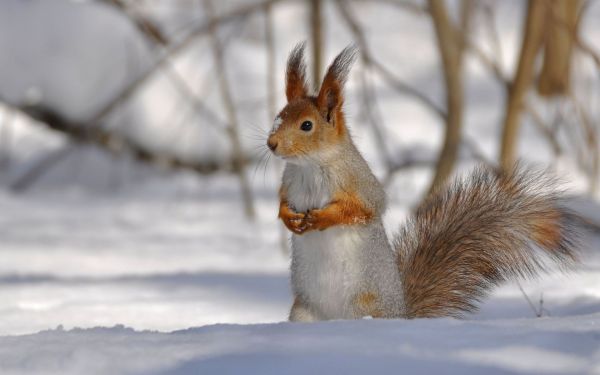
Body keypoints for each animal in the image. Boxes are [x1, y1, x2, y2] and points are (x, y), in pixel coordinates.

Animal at [266, 42, 576, 322]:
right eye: (278, 117)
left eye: (307, 125)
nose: (271, 144)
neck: (309, 165)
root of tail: (402, 314)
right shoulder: (289, 182)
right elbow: (282, 202)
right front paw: (288, 218)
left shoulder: (359, 182)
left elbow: (363, 209)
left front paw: (321, 218)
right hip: (303, 312)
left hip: (362, 306)